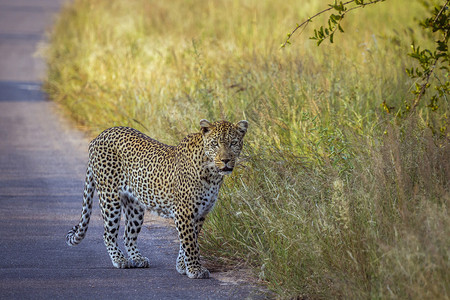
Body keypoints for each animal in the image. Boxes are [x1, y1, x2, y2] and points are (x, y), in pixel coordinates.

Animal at [66, 119, 248, 278]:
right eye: (215, 144)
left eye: (233, 143)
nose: (226, 160)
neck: (212, 174)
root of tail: (99, 136)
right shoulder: (184, 212)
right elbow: (190, 243)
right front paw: (195, 269)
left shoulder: (200, 213)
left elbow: (189, 241)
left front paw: (182, 266)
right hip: (110, 198)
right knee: (108, 234)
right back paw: (120, 260)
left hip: (135, 206)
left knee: (128, 235)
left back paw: (138, 258)